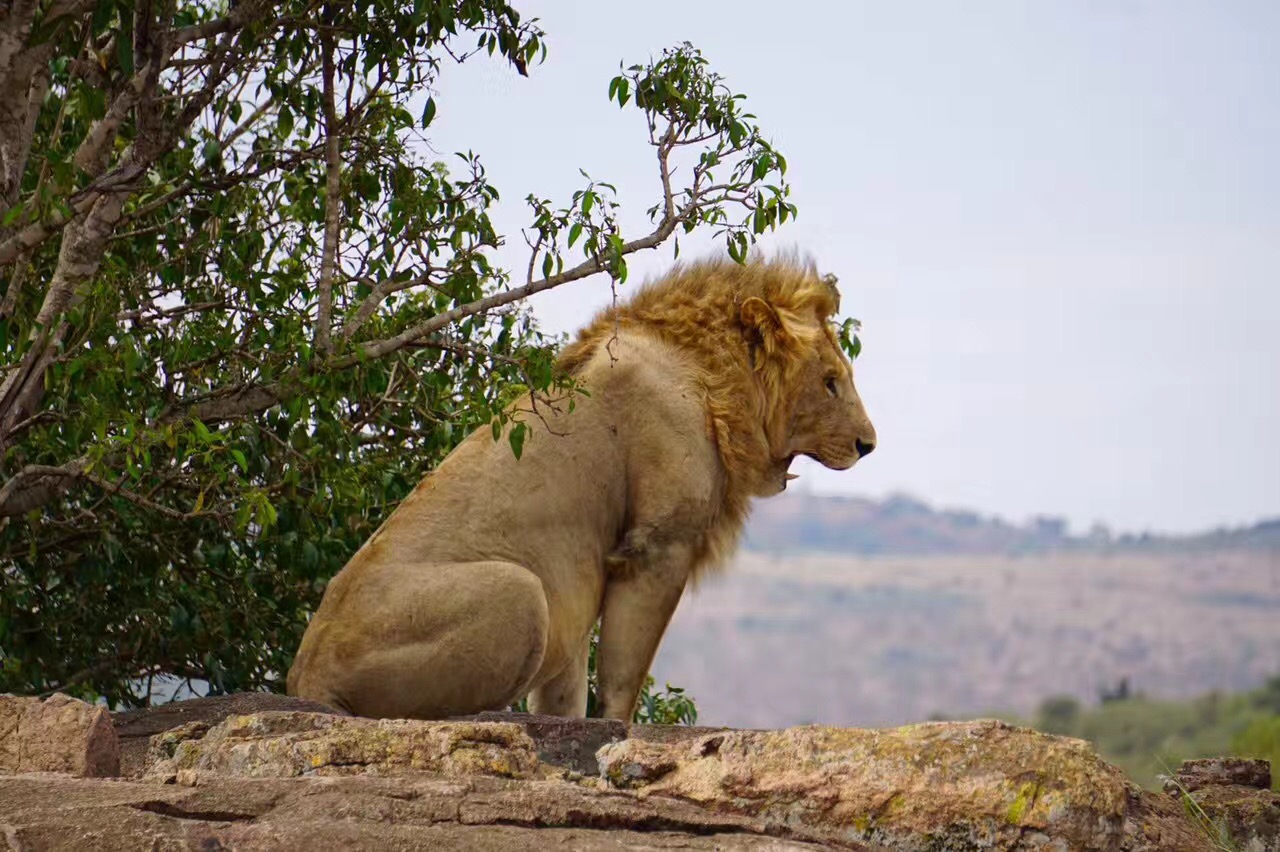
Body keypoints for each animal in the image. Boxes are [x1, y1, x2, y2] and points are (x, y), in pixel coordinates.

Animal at [285, 252, 875, 716]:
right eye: (830, 383)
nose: (868, 445)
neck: (712, 375)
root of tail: (305, 678)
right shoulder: (658, 545)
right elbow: (621, 679)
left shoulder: (580, 588)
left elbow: (565, 693)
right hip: (521, 592)